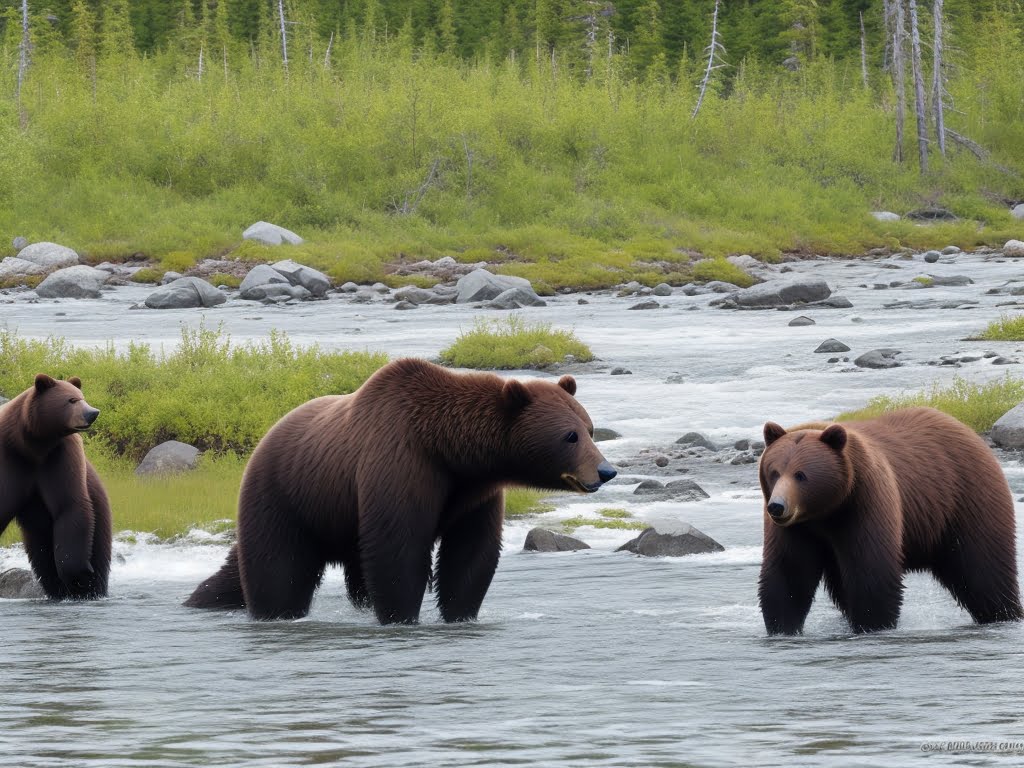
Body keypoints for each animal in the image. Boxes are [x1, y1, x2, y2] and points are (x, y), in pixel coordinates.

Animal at [0, 376, 112, 602]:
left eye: (82, 397)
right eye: (71, 400)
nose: (93, 412)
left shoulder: (60, 456)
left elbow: (70, 505)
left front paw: (79, 574)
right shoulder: (9, 458)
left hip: (99, 507)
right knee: (42, 559)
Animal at [184, 360, 614, 626]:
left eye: (590, 428)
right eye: (570, 435)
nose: (605, 470)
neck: (450, 449)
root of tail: (264, 437)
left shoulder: (475, 494)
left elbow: (470, 556)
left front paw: (460, 613)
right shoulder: (399, 463)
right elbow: (398, 550)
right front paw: (403, 615)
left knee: (236, 570)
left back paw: (203, 599)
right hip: (287, 496)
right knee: (277, 569)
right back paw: (270, 612)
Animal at [757, 409, 1019, 638]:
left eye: (801, 475)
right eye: (774, 472)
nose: (777, 506)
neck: (826, 511)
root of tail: (969, 432)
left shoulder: (866, 500)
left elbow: (872, 572)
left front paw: (873, 624)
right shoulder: (796, 529)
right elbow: (789, 573)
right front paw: (782, 628)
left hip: (967, 502)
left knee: (985, 571)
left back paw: (1005, 614)